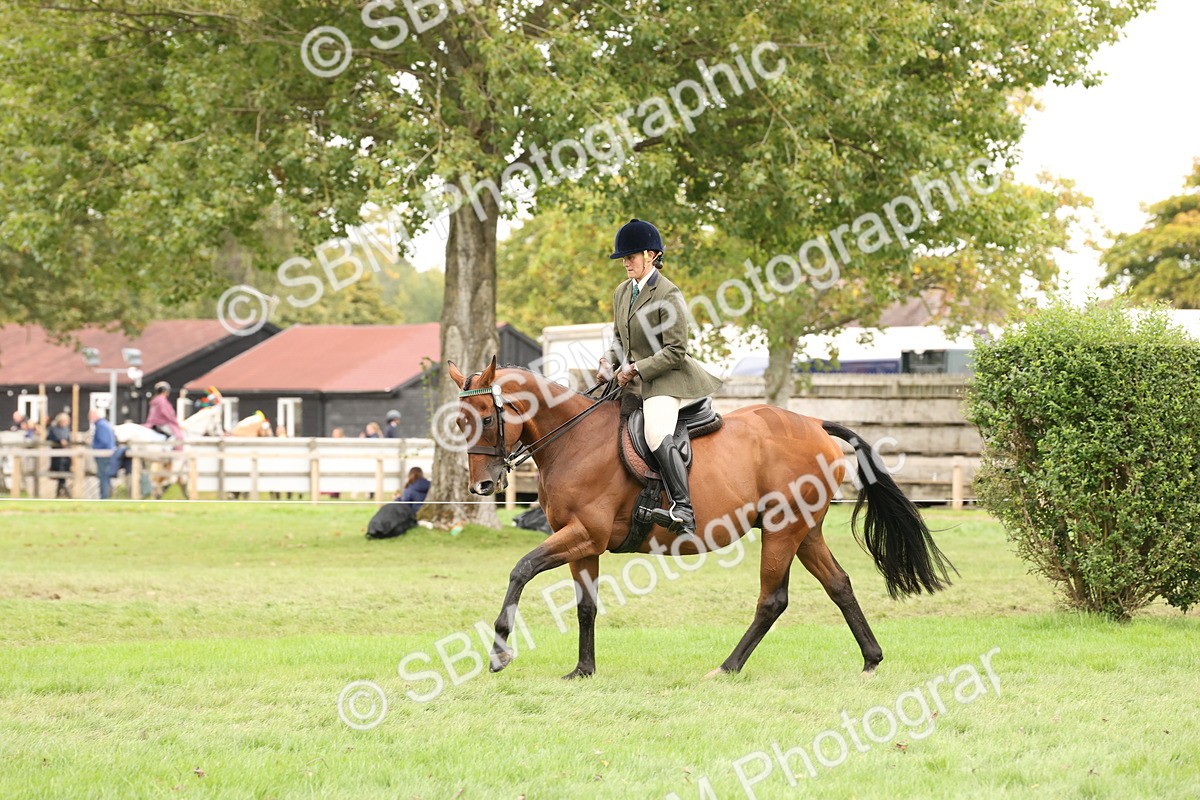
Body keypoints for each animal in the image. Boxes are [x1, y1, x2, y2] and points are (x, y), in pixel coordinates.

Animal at [448, 357, 955, 680]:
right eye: (458, 422)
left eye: (488, 419)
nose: (483, 487)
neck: (574, 440)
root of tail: (813, 423)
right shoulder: (582, 543)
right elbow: (586, 606)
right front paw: (583, 670)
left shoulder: (584, 534)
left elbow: (521, 570)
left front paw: (499, 652)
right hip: (805, 531)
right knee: (839, 585)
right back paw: (871, 658)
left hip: (782, 529)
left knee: (773, 600)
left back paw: (727, 667)